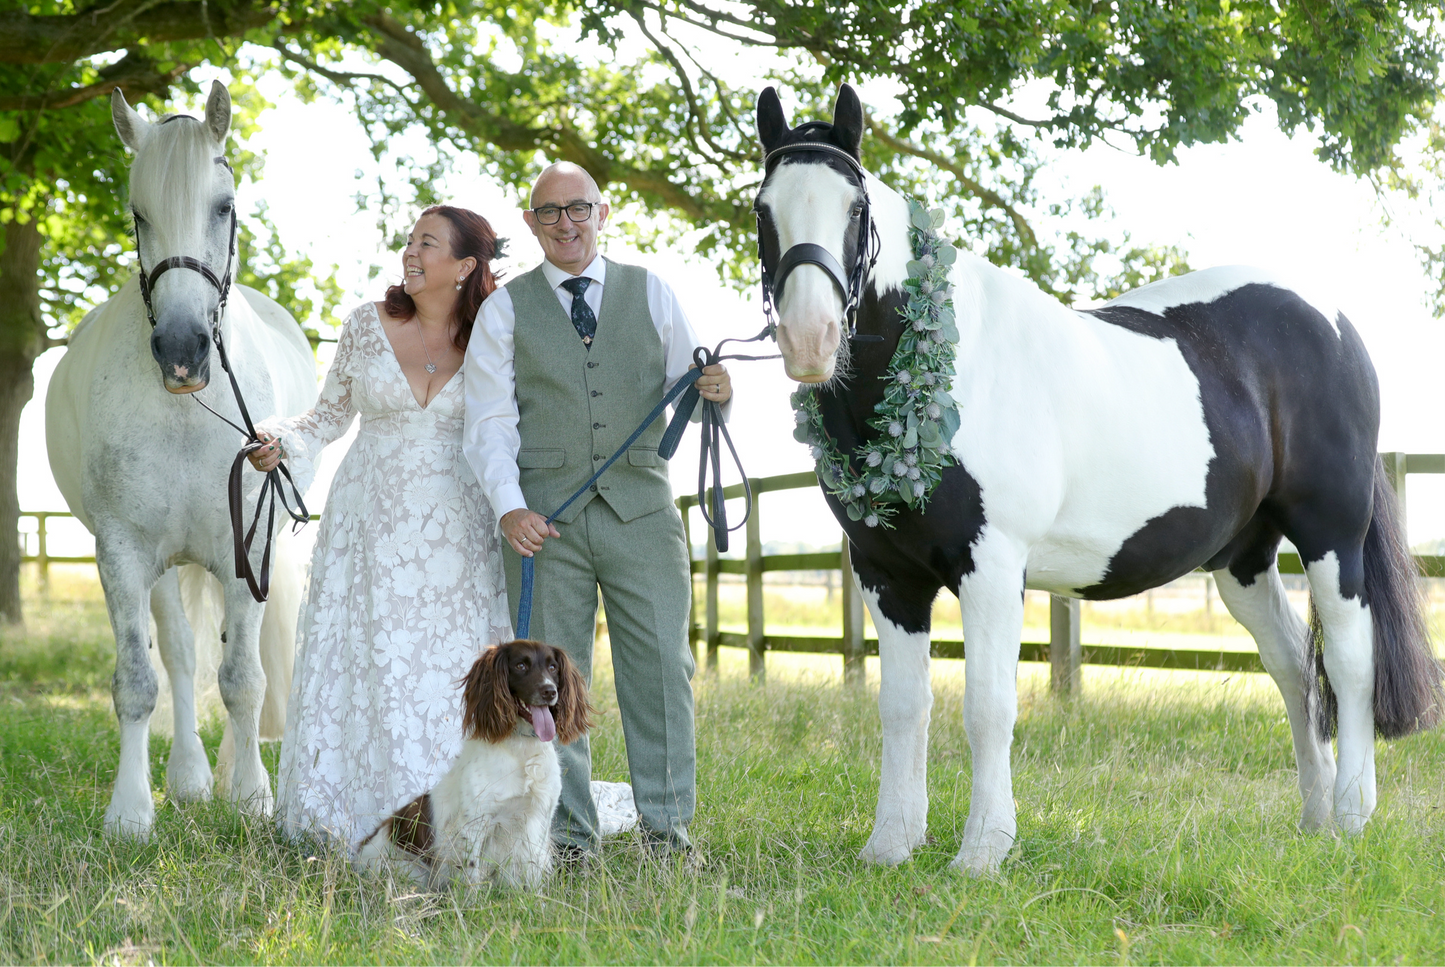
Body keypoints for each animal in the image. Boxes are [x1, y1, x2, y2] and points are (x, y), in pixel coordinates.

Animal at [45, 83, 319, 838]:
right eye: (138, 213)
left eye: (222, 206)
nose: (181, 350)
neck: (189, 413)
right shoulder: (122, 551)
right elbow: (140, 681)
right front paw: (131, 811)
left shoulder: (248, 545)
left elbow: (245, 679)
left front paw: (252, 797)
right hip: (167, 565)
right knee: (181, 651)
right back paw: (192, 779)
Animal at [352, 641, 589, 890]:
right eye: (520, 665)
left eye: (553, 667)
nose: (549, 691)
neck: (522, 751)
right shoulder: (475, 822)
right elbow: (471, 873)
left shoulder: (539, 819)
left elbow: (533, 872)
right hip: (410, 870)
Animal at [762, 84, 1439, 873]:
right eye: (763, 209)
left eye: (855, 208)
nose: (810, 340)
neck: (941, 365)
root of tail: (1329, 319)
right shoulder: (885, 574)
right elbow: (903, 706)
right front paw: (890, 845)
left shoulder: (991, 567)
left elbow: (987, 706)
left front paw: (982, 851)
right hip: (1243, 560)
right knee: (1294, 670)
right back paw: (1315, 818)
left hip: (1332, 536)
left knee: (1351, 663)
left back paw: (1353, 816)